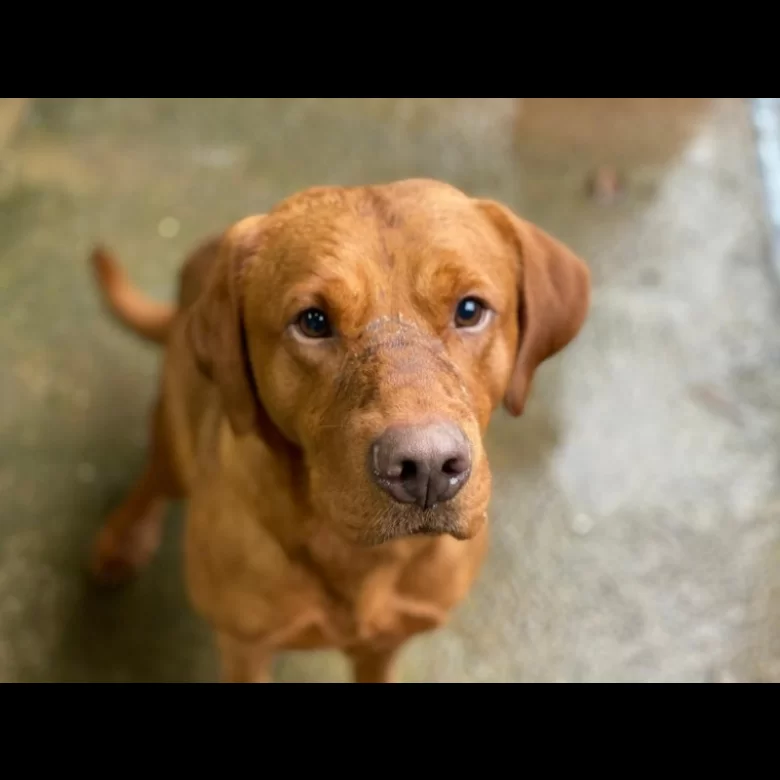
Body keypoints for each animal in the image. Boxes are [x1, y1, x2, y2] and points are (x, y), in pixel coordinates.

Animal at [88, 178, 588, 684]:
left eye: (469, 310)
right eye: (312, 321)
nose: (427, 467)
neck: (362, 559)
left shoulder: (385, 644)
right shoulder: (245, 647)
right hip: (174, 433)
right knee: (153, 478)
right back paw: (121, 540)